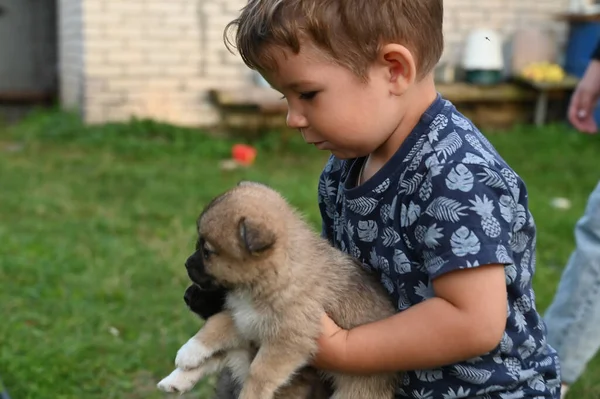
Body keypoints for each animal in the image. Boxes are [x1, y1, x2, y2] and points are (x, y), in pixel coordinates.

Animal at [158, 184, 398, 399]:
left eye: (207, 252)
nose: (186, 265)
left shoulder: (286, 339)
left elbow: (258, 372)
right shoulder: (245, 320)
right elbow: (216, 325)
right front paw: (189, 352)